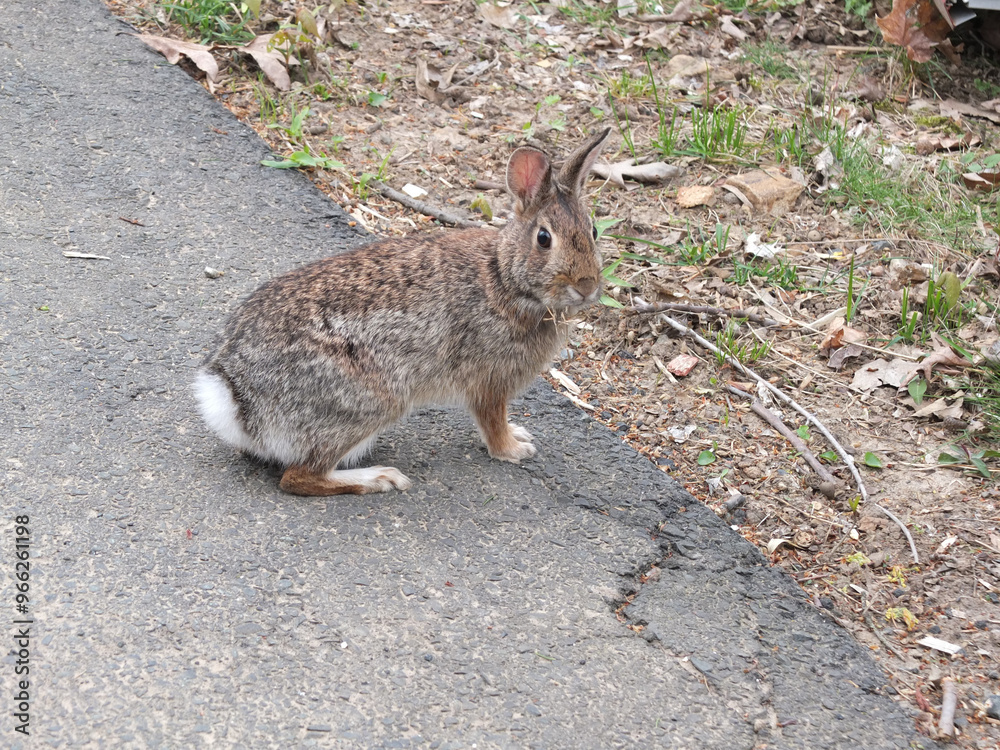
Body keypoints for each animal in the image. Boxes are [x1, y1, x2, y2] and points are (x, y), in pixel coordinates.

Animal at [194, 127, 611, 496]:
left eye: (593, 231)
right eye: (544, 239)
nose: (587, 286)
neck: (504, 276)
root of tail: (234, 395)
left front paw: (518, 436)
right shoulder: (489, 381)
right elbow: (491, 422)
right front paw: (513, 449)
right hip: (372, 401)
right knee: (299, 477)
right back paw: (379, 478)